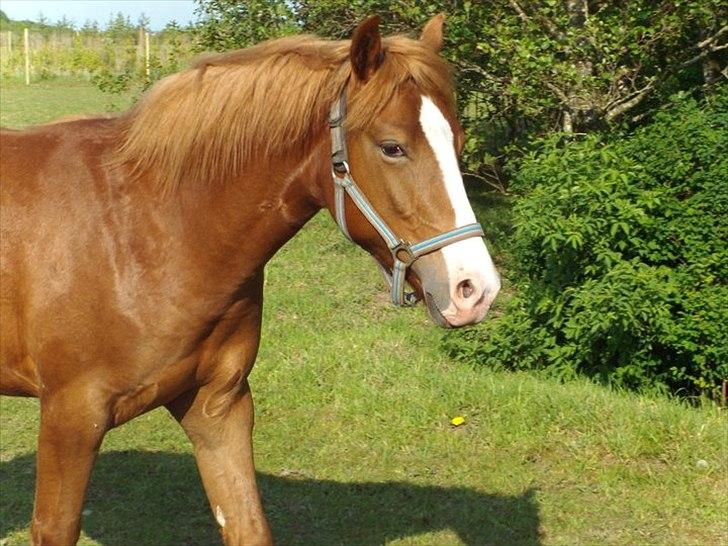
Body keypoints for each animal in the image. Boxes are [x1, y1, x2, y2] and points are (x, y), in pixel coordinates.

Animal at [0, 14, 500, 540]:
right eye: (392, 147)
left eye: (457, 143)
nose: (475, 289)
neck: (143, 233)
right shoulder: (70, 418)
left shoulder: (219, 408)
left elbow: (248, 523)